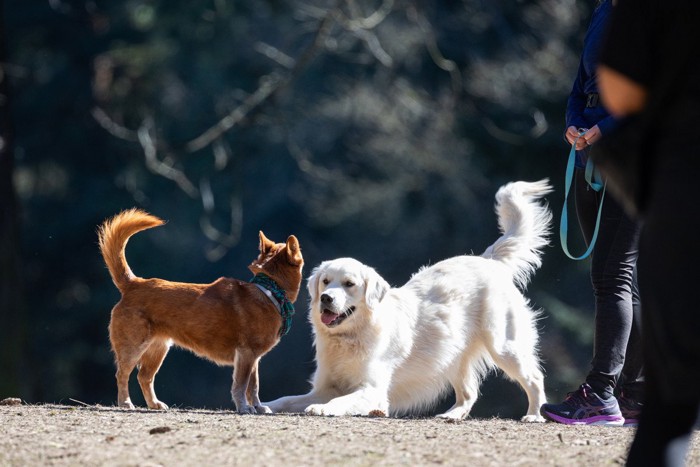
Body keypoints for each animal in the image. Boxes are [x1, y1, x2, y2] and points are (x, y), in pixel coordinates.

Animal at [97, 209, 302, 414]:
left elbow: (254, 386)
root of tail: (134, 283)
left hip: (158, 348)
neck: (270, 290)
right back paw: (125, 402)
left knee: (144, 377)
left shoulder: (254, 358)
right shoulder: (246, 354)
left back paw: (154, 404)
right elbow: (241, 386)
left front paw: (258, 407)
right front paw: (244, 407)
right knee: (122, 374)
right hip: (133, 347)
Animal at [266, 179, 552, 420]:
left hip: (504, 346)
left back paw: (535, 415)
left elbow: (340, 401)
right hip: (452, 355)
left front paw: (322, 409)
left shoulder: (372, 389)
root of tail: (489, 260)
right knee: (469, 392)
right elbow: (286, 399)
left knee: (535, 378)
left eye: (349, 284)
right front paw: (264, 404)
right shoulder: (324, 387)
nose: (326, 298)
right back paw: (451, 415)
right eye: (326, 281)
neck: (349, 337)